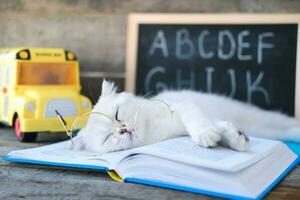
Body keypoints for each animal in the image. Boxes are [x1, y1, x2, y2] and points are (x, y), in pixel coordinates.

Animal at [71, 79, 300, 153]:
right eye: (108, 138)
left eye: (117, 115)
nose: (123, 129)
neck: (154, 131)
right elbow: (223, 130)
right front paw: (237, 138)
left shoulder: (184, 108)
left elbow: (199, 123)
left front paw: (207, 135)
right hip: (268, 128)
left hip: (266, 119)